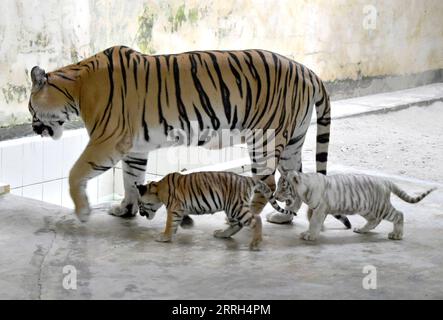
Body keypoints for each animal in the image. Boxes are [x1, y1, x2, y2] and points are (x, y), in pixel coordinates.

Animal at [28, 45, 350, 228]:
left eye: (30, 106)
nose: (33, 127)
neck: (76, 86)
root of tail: (309, 71)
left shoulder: (107, 141)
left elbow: (76, 172)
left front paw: (83, 213)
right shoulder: (134, 147)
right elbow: (131, 179)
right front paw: (126, 210)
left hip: (265, 139)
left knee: (267, 184)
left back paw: (244, 217)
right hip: (292, 143)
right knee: (296, 178)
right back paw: (284, 217)